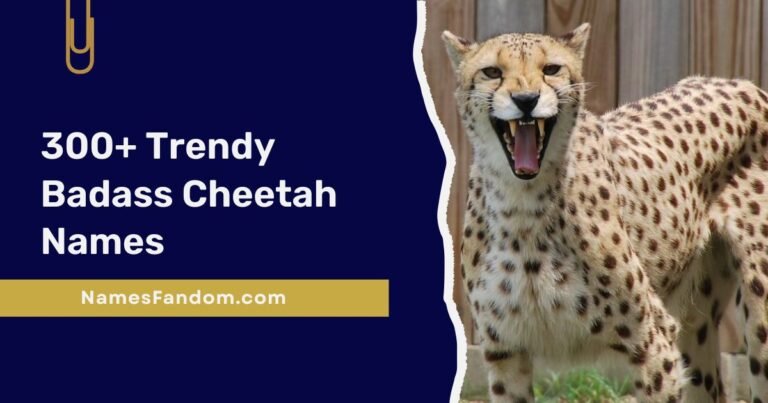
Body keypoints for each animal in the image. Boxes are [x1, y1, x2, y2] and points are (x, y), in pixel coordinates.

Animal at [442, 22, 768, 402]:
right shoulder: (506, 352)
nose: (526, 100)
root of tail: (736, 82)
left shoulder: (655, 343)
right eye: (492, 72)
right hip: (695, 324)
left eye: (551, 69)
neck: (522, 206)